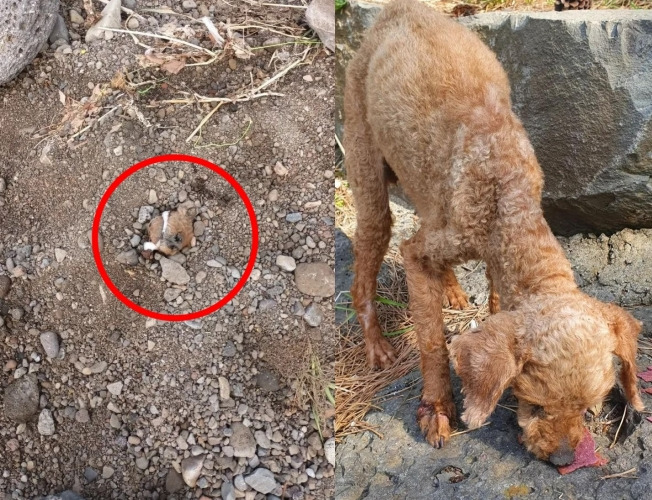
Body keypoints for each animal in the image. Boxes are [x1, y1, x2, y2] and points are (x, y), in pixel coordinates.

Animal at [344, 0, 644, 462]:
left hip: (424, 188)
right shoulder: (423, 252)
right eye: (535, 405)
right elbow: (431, 341)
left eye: (588, 407)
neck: (507, 192)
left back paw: (450, 288)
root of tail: (400, 10)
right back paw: (376, 343)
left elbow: (496, 295)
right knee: (366, 267)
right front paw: (438, 408)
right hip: (367, 169)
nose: (562, 458)